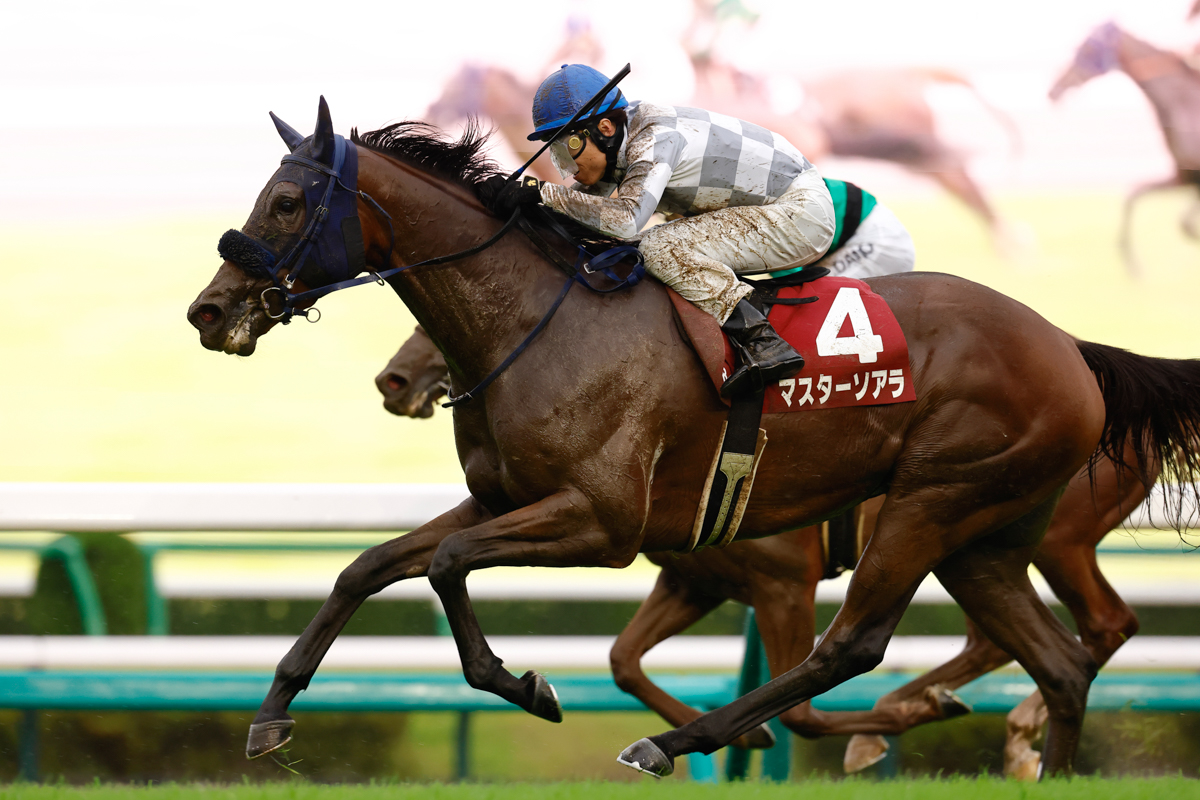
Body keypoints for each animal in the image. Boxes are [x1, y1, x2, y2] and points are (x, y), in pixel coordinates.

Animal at [377, 324, 1150, 779]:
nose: (394, 380)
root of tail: (1085, 371)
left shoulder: (783, 584)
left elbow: (797, 700)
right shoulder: (696, 580)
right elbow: (624, 660)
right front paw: (743, 738)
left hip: (1010, 532)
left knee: (1096, 625)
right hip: (983, 545)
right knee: (1049, 638)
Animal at [1050, 22, 1200, 276]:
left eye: (1088, 48)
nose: (1054, 89)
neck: (1183, 105)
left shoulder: (1192, 179)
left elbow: (1185, 223)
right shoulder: (1182, 178)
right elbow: (1133, 196)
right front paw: (1133, 266)